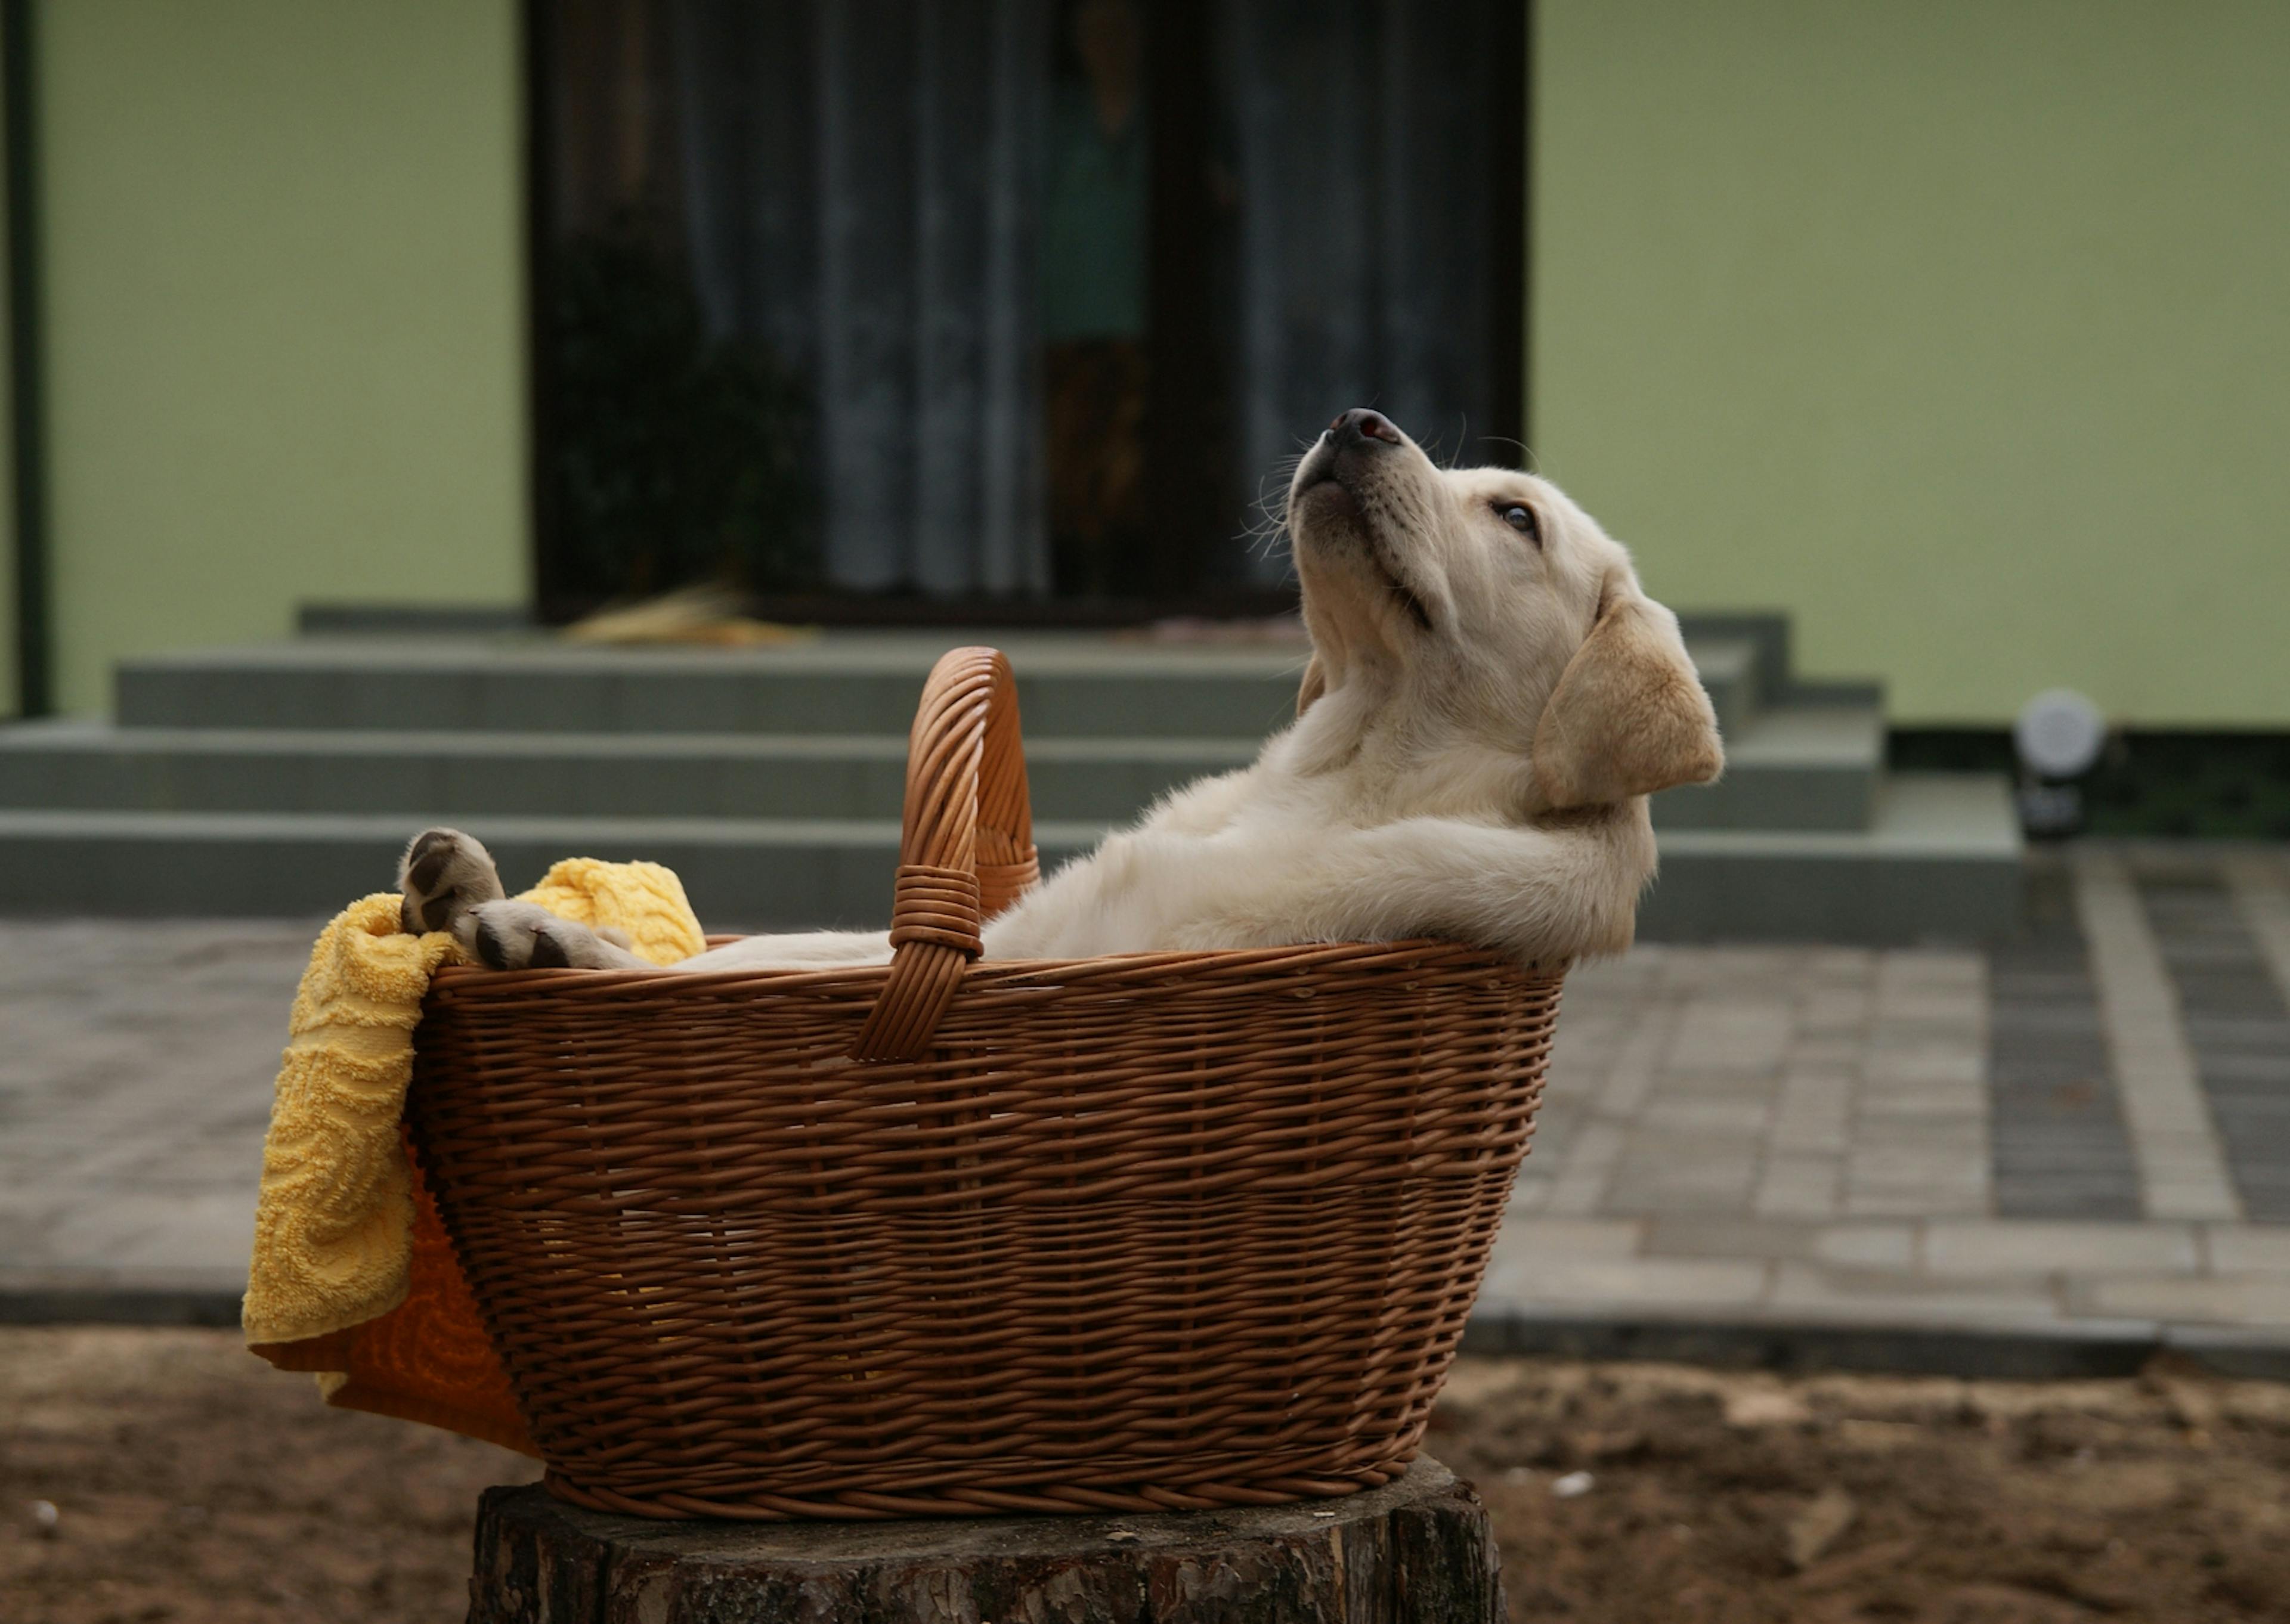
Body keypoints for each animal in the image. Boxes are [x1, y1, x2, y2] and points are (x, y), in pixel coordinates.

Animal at [403, 414, 1722, 975]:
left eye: (1517, 517)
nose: (1358, 419)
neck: (1345, 770)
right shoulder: (998, 932)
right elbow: (760, 954)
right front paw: (513, 910)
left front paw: (539, 931)